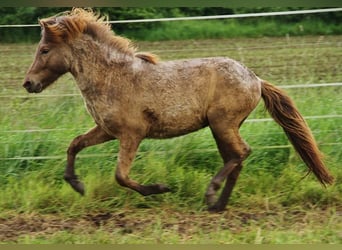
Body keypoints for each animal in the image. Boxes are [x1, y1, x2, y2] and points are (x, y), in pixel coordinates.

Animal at [22, 8, 332, 211]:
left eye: (45, 50)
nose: (28, 83)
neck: (113, 78)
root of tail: (256, 79)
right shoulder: (106, 130)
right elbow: (74, 144)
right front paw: (76, 185)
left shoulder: (132, 134)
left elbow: (121, 175)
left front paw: (159, 189)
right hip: (221, 128)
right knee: (235, 159)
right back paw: (218, 205)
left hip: (223, 123)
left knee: (241, 153)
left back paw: (211, 194)